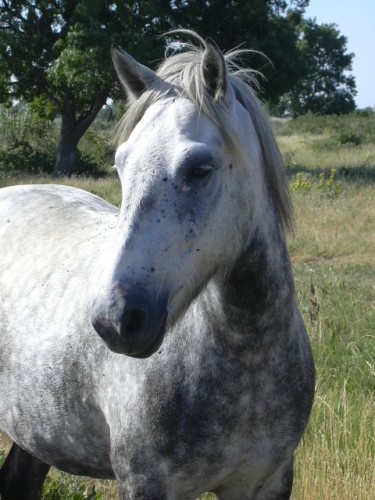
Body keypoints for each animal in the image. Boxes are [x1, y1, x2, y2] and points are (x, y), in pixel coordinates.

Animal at [0, 32, 314, 500]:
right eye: (120, 166)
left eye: (199, 169)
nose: (114, 321)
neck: (248, 362)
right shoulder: (146, 483)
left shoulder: (267, 480)